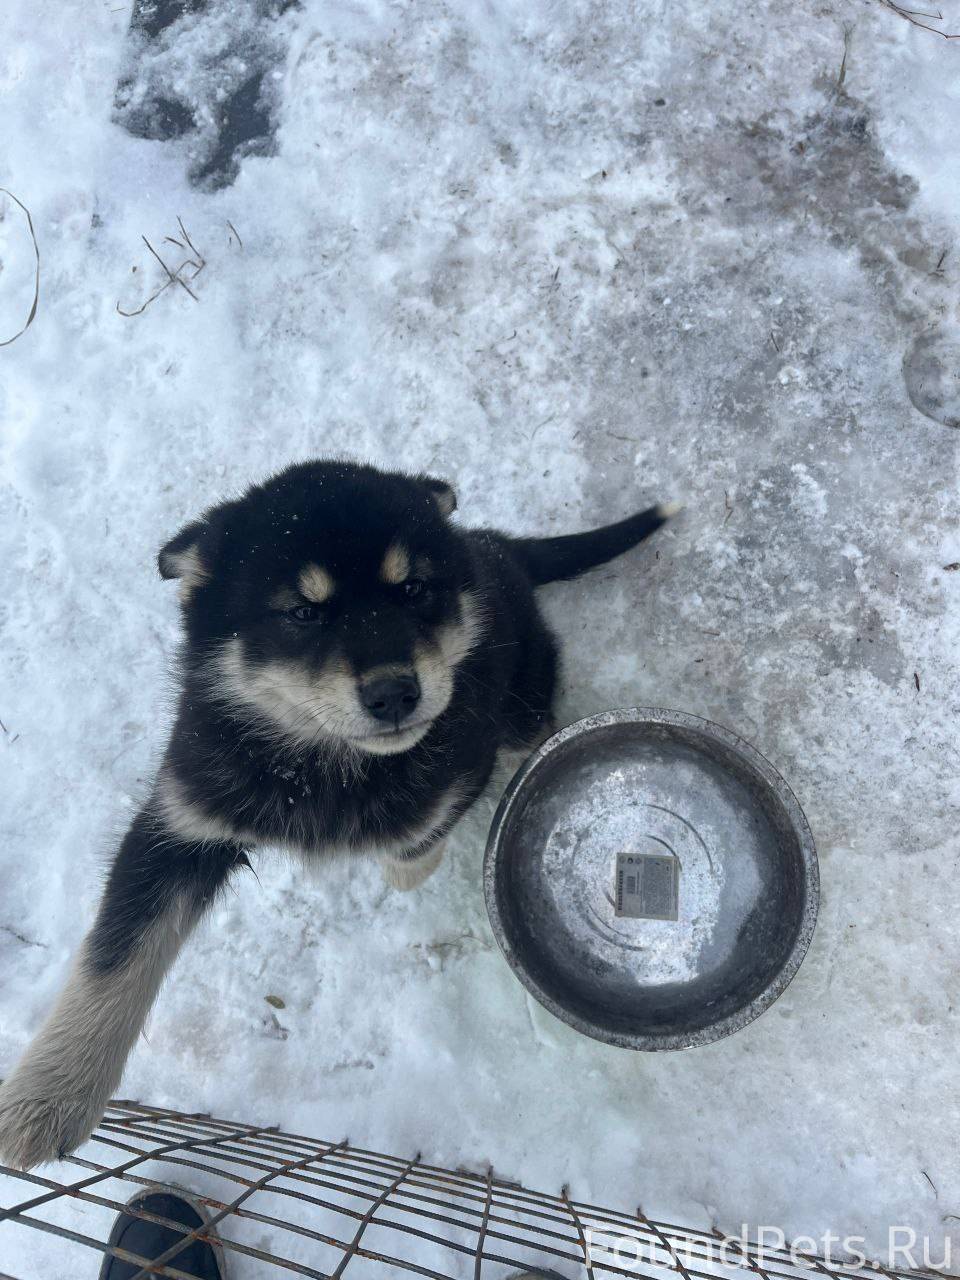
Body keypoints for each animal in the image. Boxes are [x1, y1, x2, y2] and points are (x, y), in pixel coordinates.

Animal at [0, 459, 677, 1169]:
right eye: (302, 612)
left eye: (414, 589)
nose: (394, 693)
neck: (320, 764)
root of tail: (490, 545)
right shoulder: (181, 821)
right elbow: (113, 957)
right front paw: (46, 1097)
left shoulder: (468, 762)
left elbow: (416, 835)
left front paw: (400, 868)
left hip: (521, 704)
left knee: (533, 727)